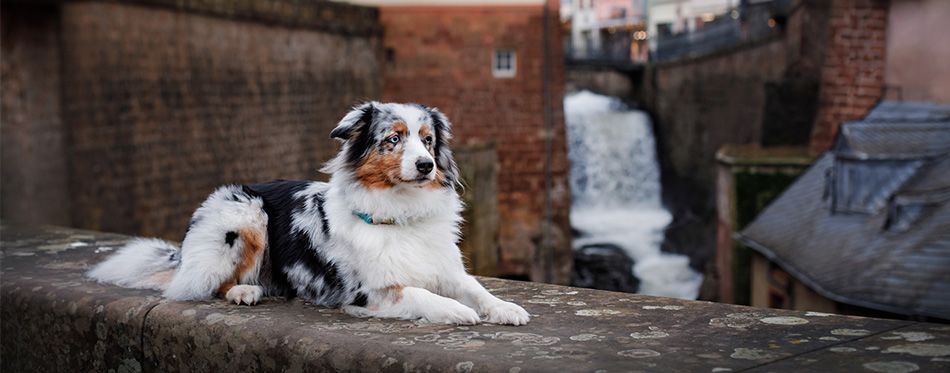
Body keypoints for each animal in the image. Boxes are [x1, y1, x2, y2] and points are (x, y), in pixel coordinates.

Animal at [85, 100, 532, 324]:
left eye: (427, 140)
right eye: (393, 138)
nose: (426, 166)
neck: (400, 212)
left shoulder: (446, 268)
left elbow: (476, 288)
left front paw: (505, 309)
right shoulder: (366, 292)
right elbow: (420, 293)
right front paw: (458, 312)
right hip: (245, 213)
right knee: (200, 284)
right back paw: (245, 290)